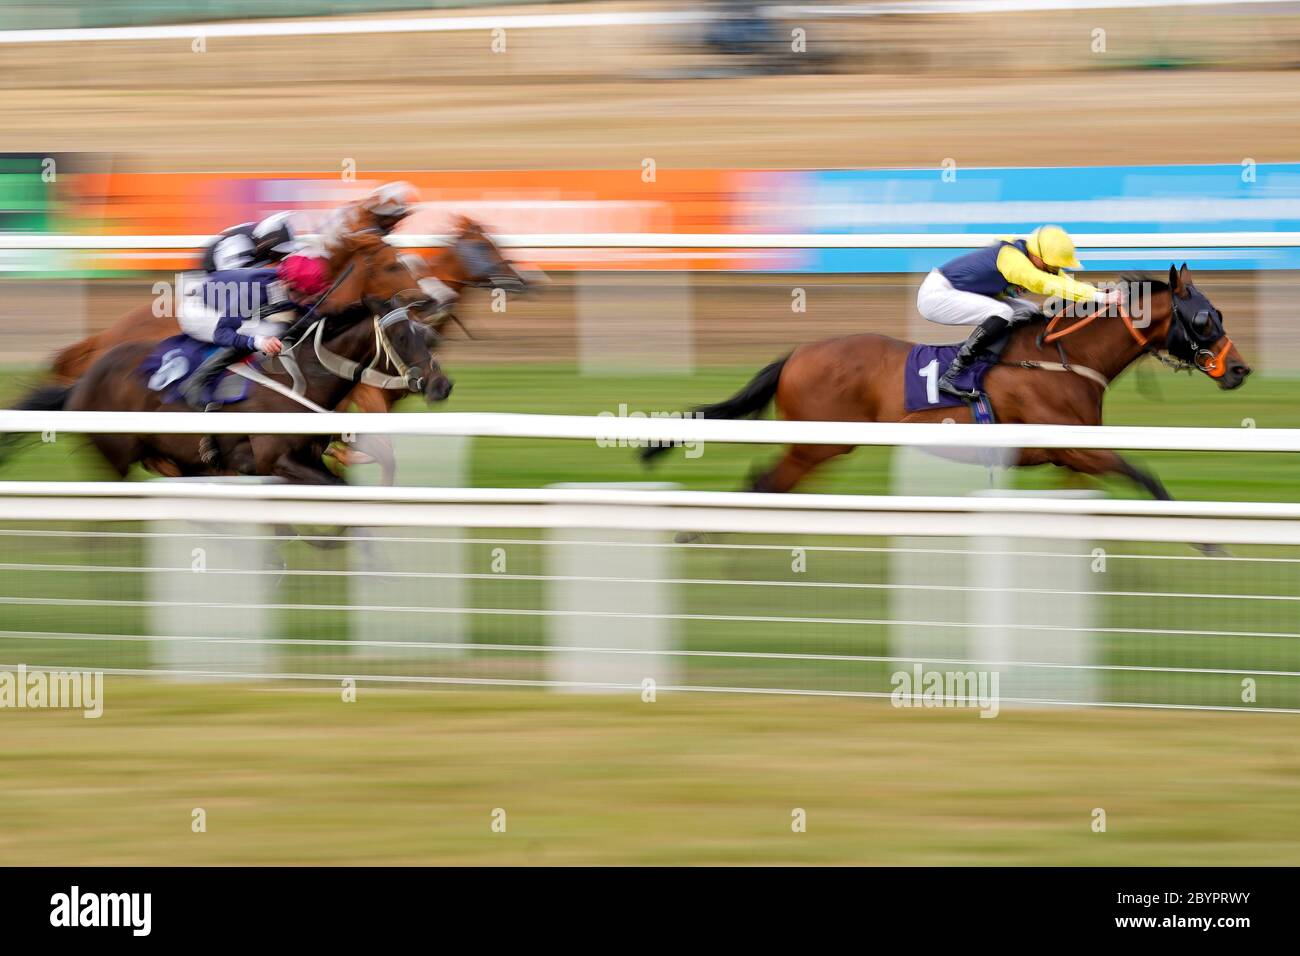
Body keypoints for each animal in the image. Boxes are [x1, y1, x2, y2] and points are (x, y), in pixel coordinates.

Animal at [644, 261, 1253, 502]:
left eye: (1220, 311)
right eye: (1204, 318)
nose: (1241, 369)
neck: (1061, 359)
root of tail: (798, 353)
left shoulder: (1071, 458)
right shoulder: (1075, 447)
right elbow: (1147, 479)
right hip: (817, 443)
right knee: (764, 483)